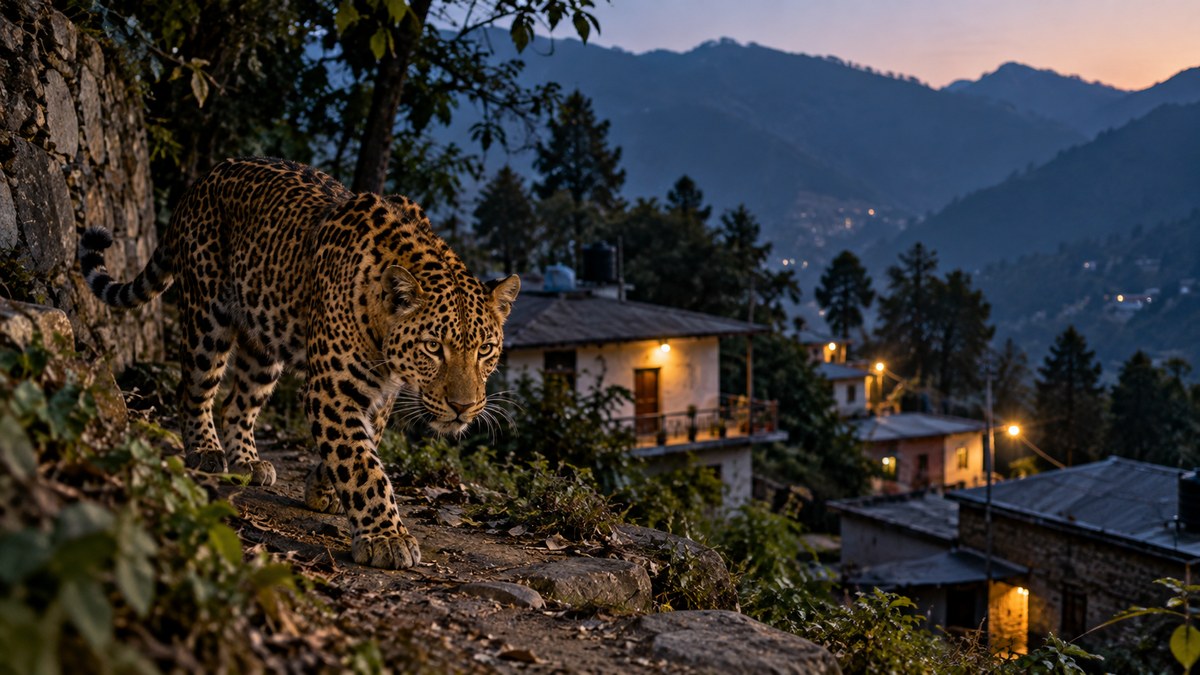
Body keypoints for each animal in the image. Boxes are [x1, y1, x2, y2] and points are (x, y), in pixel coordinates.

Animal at [79, 157, 519, 569]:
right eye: (433, 347)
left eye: (485, 349)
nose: (463, 407)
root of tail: (205, 178)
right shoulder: (333, 389)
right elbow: (363, 465)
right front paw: (387, 537)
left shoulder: (380, 394)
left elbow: (361, 444)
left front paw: (324, 489)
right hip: (207, 317)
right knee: (193, 388)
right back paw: (206, 450)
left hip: (263, 342)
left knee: (237, 403)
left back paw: (248, 461)